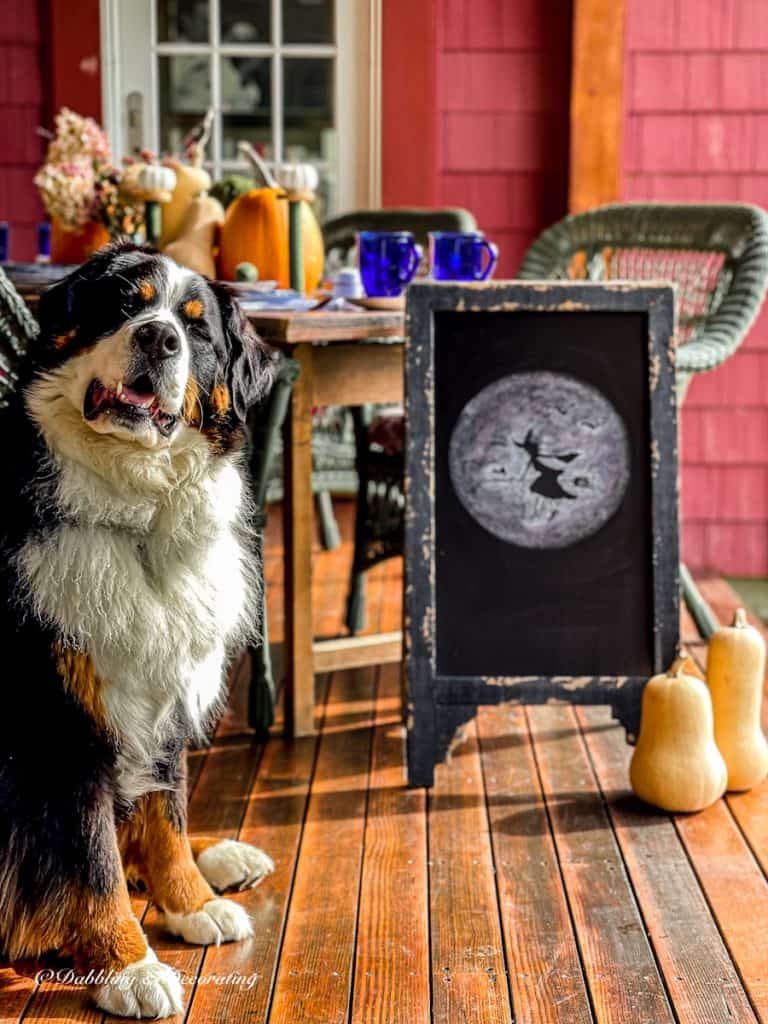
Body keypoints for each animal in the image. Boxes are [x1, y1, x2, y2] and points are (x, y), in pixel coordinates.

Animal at [0, 243, 280, 1019]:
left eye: (198, 328)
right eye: (127, 304)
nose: (159, 340)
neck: (137, 518)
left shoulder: (164, 691)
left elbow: (167, 815)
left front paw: (191, 901)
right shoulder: (63, 724)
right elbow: (91, 857)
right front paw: (127, 964)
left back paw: (223, 859)